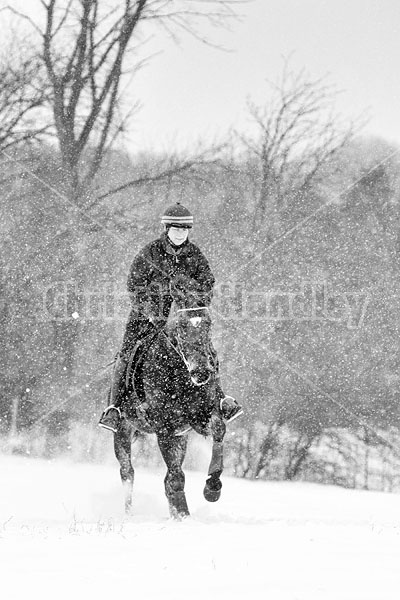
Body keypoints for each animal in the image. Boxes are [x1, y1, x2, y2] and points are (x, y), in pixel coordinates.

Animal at [113, 300, 225, 520]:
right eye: (181, 327)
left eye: (208, 324)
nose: (201, 372)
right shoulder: (165, 429)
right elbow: (176, 476)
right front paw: (183, 515)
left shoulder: (199, 419)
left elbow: (218, 428)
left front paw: (212, 486)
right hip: (123, 430)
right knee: (127, 472)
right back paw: (129, 514)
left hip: (181, 437)